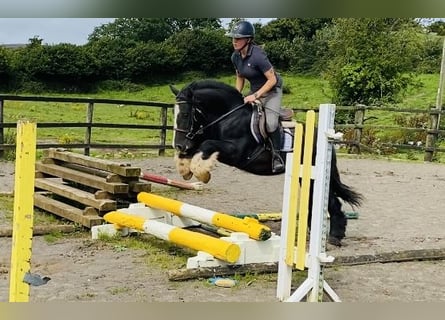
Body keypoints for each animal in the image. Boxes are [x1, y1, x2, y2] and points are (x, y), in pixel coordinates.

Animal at [169, 80, 360, 245]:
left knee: (332, 201)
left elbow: (206, 144)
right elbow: (198, 147)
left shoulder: (237, 152)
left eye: (185, 114)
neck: (227, 116)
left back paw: (335, 236)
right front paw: (186, 168)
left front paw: (201, 173)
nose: (178, 145)